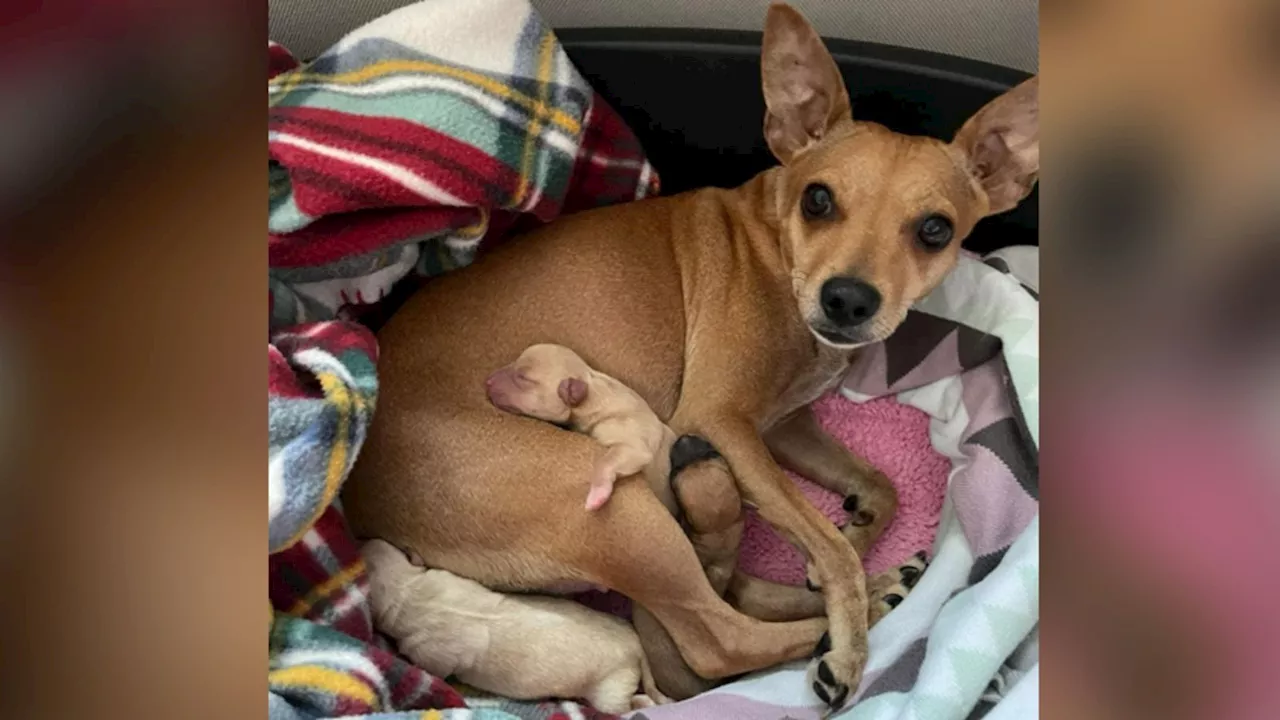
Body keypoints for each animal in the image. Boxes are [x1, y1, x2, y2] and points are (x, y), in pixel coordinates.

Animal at [358, 538, 665, 712]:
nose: (360, 538)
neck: (410, 592)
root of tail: (634, 645)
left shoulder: (429, 652)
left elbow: (431, 668)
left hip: (611, 687)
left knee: (621, 705)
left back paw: (639, 705)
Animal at [481, 340, 680, 512]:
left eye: (523, 377)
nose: (487, 380)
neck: (592, 392)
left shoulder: (632, 442)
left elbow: (605, 461)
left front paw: (597, 495)